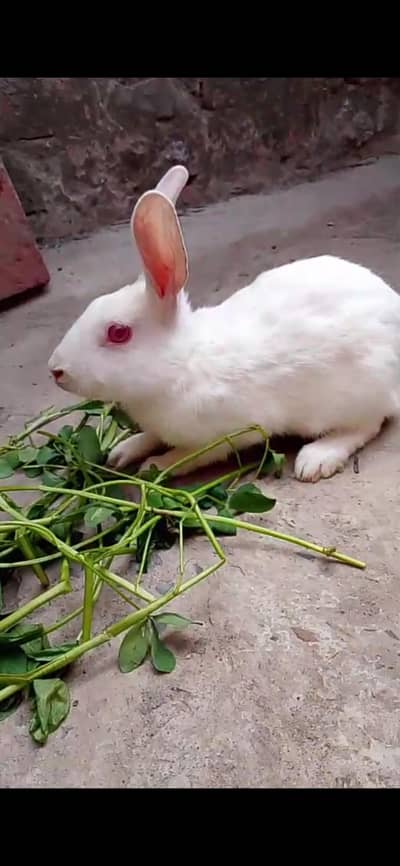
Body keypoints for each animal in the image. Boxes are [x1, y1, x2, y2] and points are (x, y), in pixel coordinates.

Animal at [48, 164, 400, 483]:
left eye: (118, 332)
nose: (56, 370)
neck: (180, 365)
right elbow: (151, 436)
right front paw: (122, 451)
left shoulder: (233, 430)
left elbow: (190, 454)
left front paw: (156, 466)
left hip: (357, 390)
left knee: (368, 424)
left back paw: (316, 459)